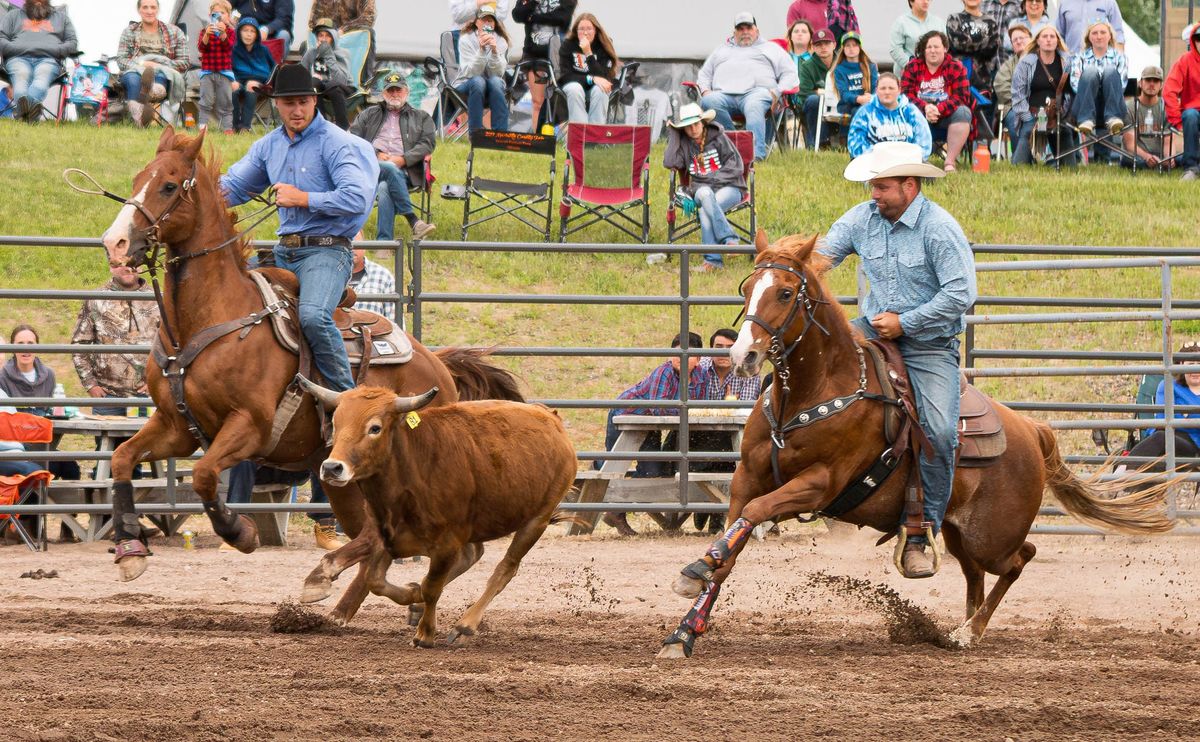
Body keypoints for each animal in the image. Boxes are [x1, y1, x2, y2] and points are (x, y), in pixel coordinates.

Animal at [96, 128, 518, 624]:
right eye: (137, 177)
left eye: (167, 186)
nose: (115, 243)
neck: (208, 321)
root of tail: (435, 364)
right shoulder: (175, 426)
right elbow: (122, 458)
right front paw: (130, 551)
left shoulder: (251, 427)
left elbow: (202, 475)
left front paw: (240, 532)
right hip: (343, 480)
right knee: (379, 537)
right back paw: (361, 604)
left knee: (401, 539)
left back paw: (335, 579)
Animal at [657, 232, 1171, 657]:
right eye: (747, 291)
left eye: (785, 292)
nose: (743, 355)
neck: (811, 394)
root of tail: (1031, 430)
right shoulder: (747, 476)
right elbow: (735, 537)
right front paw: (684, 629)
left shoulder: (819, 484)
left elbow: (755, 515)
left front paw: (697, 569)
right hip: (959, 530)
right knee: (975, 574)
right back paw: (958, 630)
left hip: (992, 535)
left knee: (1018, 559)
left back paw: (969, 632)